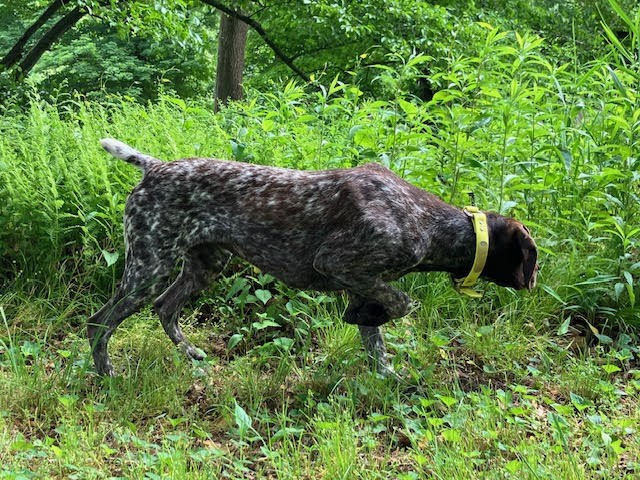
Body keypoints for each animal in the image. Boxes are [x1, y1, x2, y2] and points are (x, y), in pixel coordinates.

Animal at [86, 141, 536, 376]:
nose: (533, 280)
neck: (426, 220)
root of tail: (155, 167)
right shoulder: (339, 263)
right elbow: (403, 303)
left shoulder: (364, 285)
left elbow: (377, 341)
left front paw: (388, 378)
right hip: (149, 267)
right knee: (99, 323)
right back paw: (107, 374)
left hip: (204, 266)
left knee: (165, 308)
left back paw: (191, 353)